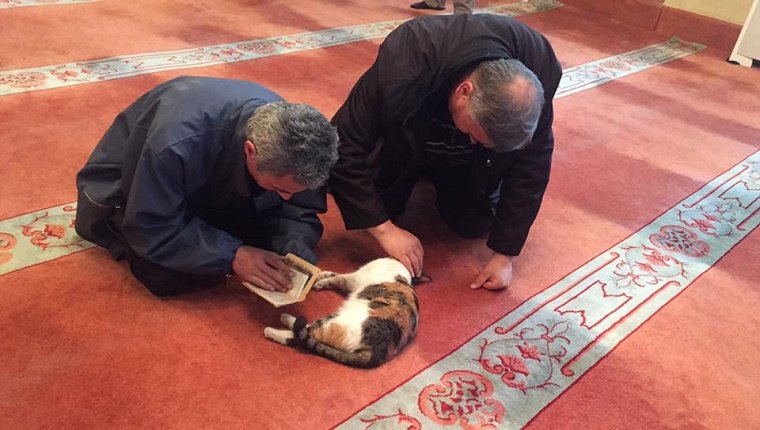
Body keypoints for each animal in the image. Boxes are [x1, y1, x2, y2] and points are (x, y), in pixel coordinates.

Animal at [264, 256, 422, 368]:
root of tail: (378, 350)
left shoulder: (353, 278)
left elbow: (338, 277)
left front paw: (320, 282)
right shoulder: (352, 278)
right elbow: (334, 274)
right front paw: (321, 277)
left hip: (334, 322)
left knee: (301, 334)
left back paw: (277, 324)